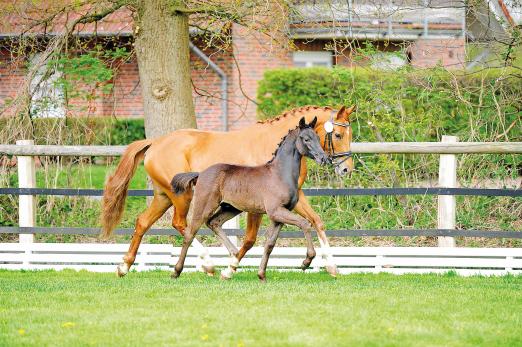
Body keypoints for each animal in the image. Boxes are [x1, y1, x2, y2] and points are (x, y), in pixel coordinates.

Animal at [169, 118, 328, 282]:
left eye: (318, 138)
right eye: (306, 139)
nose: (323, 158)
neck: (279, 174)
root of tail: (200, 174)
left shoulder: (278, 216)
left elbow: (270, 244)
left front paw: (261, 275)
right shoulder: (275, 211)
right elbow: (305, 223)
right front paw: (306, 261)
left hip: (230, 208)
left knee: (214, 223)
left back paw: (233, 258)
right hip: (204, 206)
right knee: (190, 234)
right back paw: (177, 271)